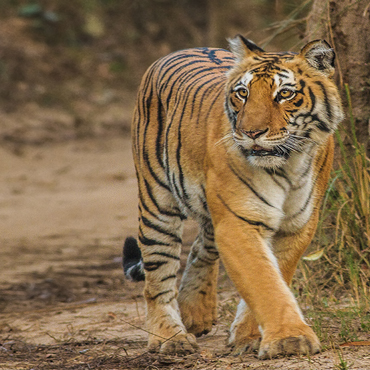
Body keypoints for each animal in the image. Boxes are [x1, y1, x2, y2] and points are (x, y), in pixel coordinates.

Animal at [124, 35, 344, 358]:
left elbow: (276, 276)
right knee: (158, 277)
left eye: (285, 94)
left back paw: (195, 313)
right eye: (243, 93)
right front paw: (289, 338)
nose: (251, 132)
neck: (288, 165)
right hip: (157, 202)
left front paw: (249, 336)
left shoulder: (298, 224)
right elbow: (264, 281)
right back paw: (170, 338)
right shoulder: (238, 222)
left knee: (201, 247)